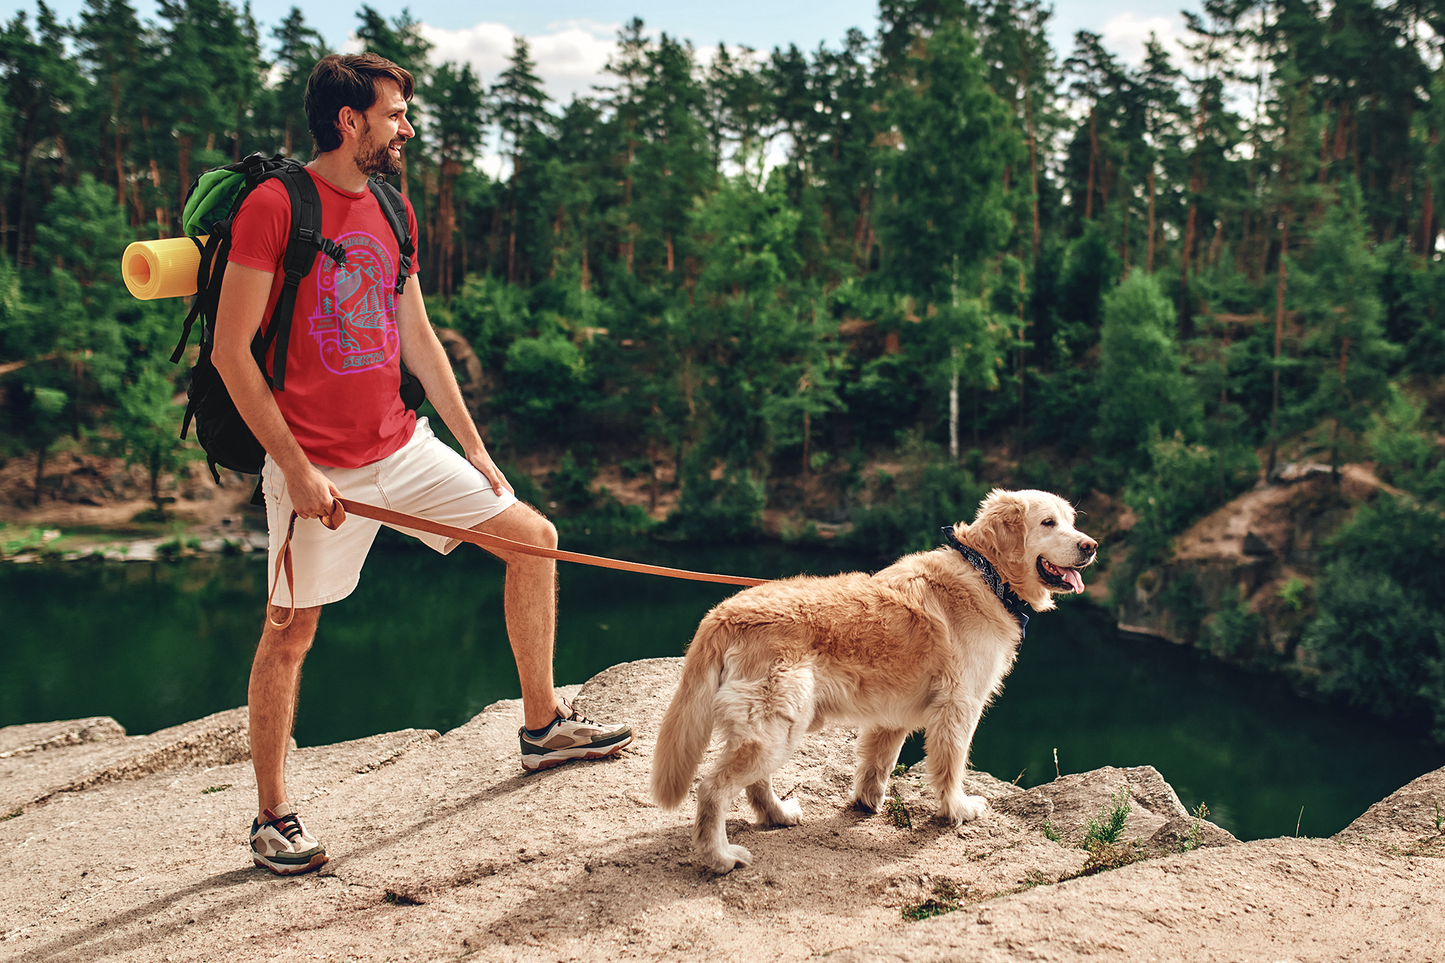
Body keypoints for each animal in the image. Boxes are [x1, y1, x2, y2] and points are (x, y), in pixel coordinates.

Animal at [647, 488, 1092, 867]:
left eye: (1071, 521)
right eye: (1048, 522)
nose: (1091, 546)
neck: (986, 573)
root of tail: (723, 613)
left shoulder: (891, 713)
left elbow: (878, 761)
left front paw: (866, 802)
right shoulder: (960, 706)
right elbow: (951, 766)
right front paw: (958, 809)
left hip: (774, 726)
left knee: (755, 783)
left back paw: (778, 814)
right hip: (776, 724)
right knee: (712, 788)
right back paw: (720, 857)